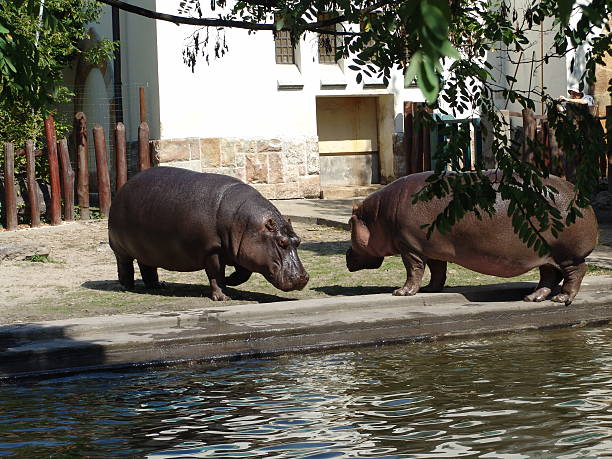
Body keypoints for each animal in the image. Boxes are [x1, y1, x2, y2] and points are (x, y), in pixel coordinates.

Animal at [108, 167, 308, 300]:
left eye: (297, 241)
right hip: (120, 249)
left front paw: (230, 281)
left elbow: (244, 273)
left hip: (146, 248)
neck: (245, 223)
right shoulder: (212, 250)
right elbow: (216, 274)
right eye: (281, 242)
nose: (303, 277)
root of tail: (124, 186)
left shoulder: (241, 249)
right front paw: (223, 296)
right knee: (125, 266)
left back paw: (158, 287)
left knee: (147, 266)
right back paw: (127, 287)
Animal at [346, 171, 600, 304]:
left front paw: (402, 292)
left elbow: (414, 270)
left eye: (349, 224)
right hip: (546, 254)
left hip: (568, 255)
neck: (376, 216)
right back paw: (532, 297)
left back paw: (561, 299)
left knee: (575, 273)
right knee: (549, 276)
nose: (347, 254)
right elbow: (438, 271)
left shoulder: (410, 247)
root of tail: (581, 197)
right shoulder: (432, 248)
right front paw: (430, 290)